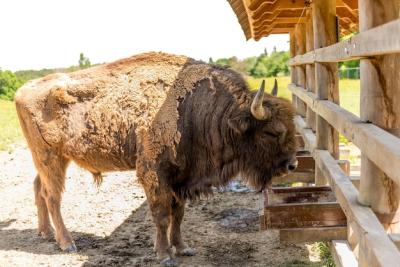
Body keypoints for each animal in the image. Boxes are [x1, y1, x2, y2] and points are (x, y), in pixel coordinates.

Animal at [14, 51, 296, 266]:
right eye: (272, 132)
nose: (291, 164)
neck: (195, 109)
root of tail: (22, 90)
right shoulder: (154, 174)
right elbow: (161, 215)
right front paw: (165, 255)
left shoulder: (181, 178)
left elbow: (178, 214)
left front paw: (183, 248)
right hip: (50, 158)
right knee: (52, 197)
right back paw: (67, 243)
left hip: (52, 160)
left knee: (39, 189)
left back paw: (45, 233)